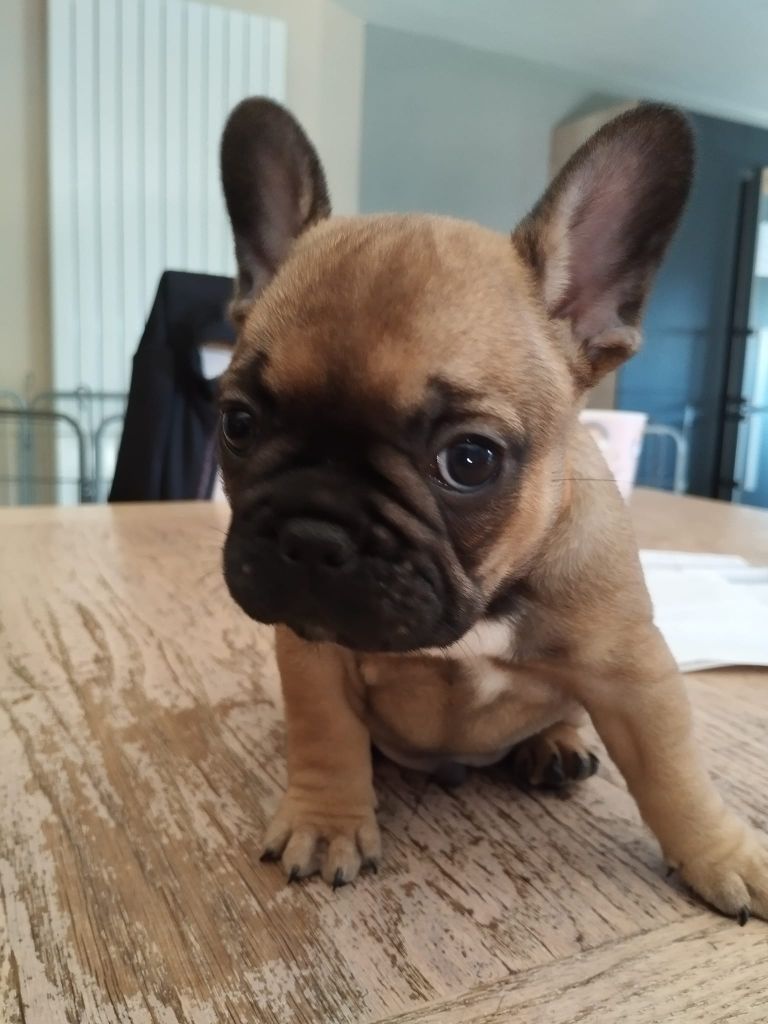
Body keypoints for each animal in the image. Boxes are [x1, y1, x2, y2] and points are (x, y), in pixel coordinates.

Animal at [217, 97, 768, 922]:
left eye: (469, 461)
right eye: (238, 423)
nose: (313, 531)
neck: (485, 598)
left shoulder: (634, 671)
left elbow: (675, 774)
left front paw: (723, 854)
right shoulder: (312, 652)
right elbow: (327, 737)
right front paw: (327, 821)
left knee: (567, 713)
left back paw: (556, 745)